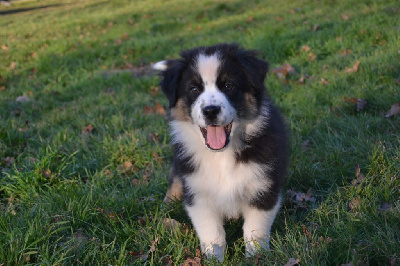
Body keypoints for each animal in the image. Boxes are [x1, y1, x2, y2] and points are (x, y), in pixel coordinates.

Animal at [152, 43, 288, 262]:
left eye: (228, 86)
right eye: (194, 89)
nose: (210, 111)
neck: (221, 156)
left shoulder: (263, 188)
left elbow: (255, 230)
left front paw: (256, 257)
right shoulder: (198, 193)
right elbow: (212, 233)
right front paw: (214, 259)